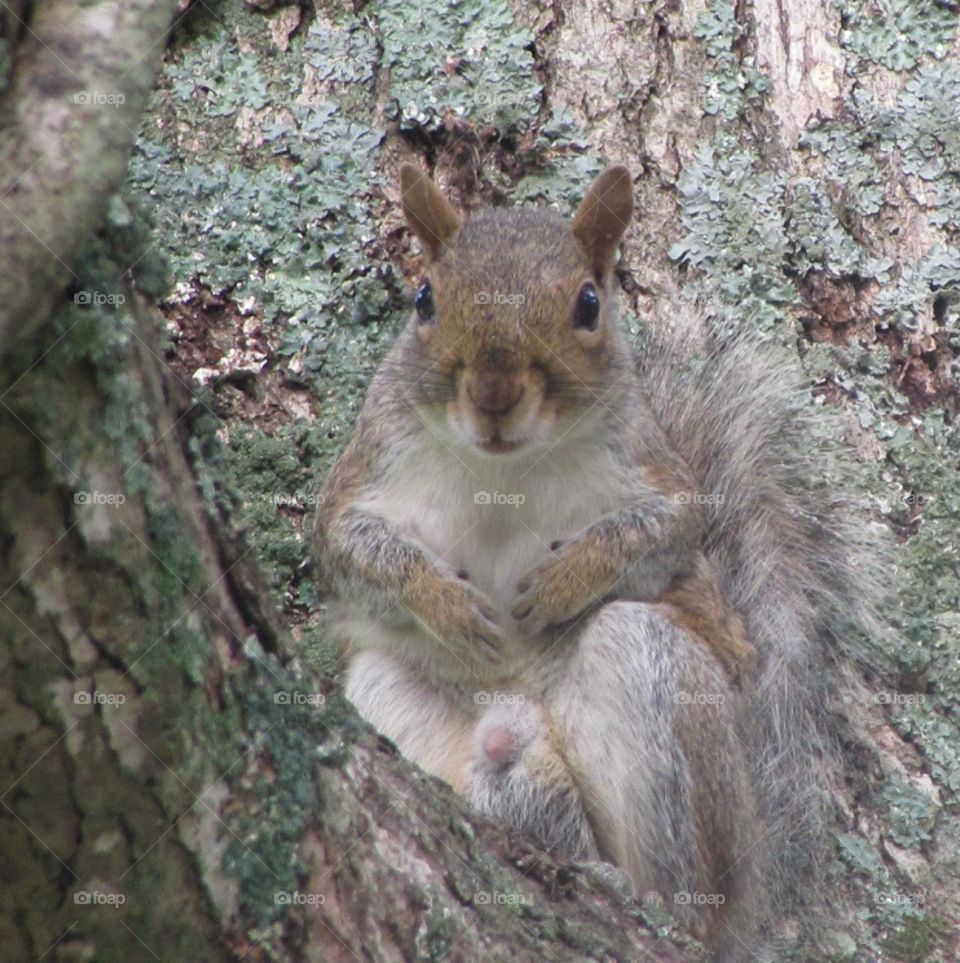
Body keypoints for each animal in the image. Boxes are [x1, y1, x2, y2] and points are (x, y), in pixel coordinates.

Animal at [316, 164, 884, 956]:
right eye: (424, 297)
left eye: (588, 303)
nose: (493, 392)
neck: (505, 467)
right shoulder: (366, 474)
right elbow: (356, 555)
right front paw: (450, 606)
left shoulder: (656, 479)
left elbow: (657, 534)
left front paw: (561, 584)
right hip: (390, 692)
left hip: (657, 685)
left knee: (682, 895)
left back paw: (646, 896)